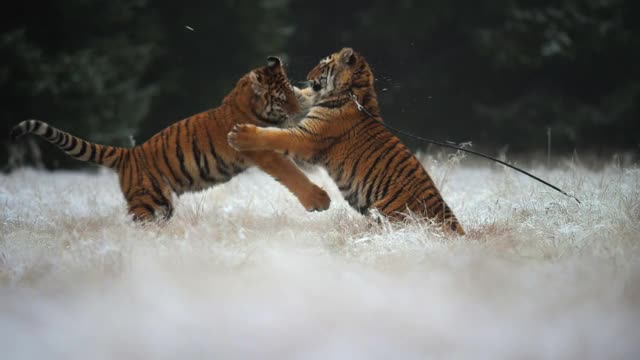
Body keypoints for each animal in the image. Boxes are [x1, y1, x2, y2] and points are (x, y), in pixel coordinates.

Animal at [8, 57, 330, 221]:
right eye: (282, 98)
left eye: (290, 91)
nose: (297, 110)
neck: (245, 102)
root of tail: (128, 155)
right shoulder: (263, 151)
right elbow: (291, 173)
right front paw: (319, 201)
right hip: (150, 202)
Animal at [230, 47, 464, 235]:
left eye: (323, 66)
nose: (308, 75)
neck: (354, 89)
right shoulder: (309, 107)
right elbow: (301, 95)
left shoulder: (307, 137)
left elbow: (274, 135)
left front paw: (239, 135)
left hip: (384, 215)